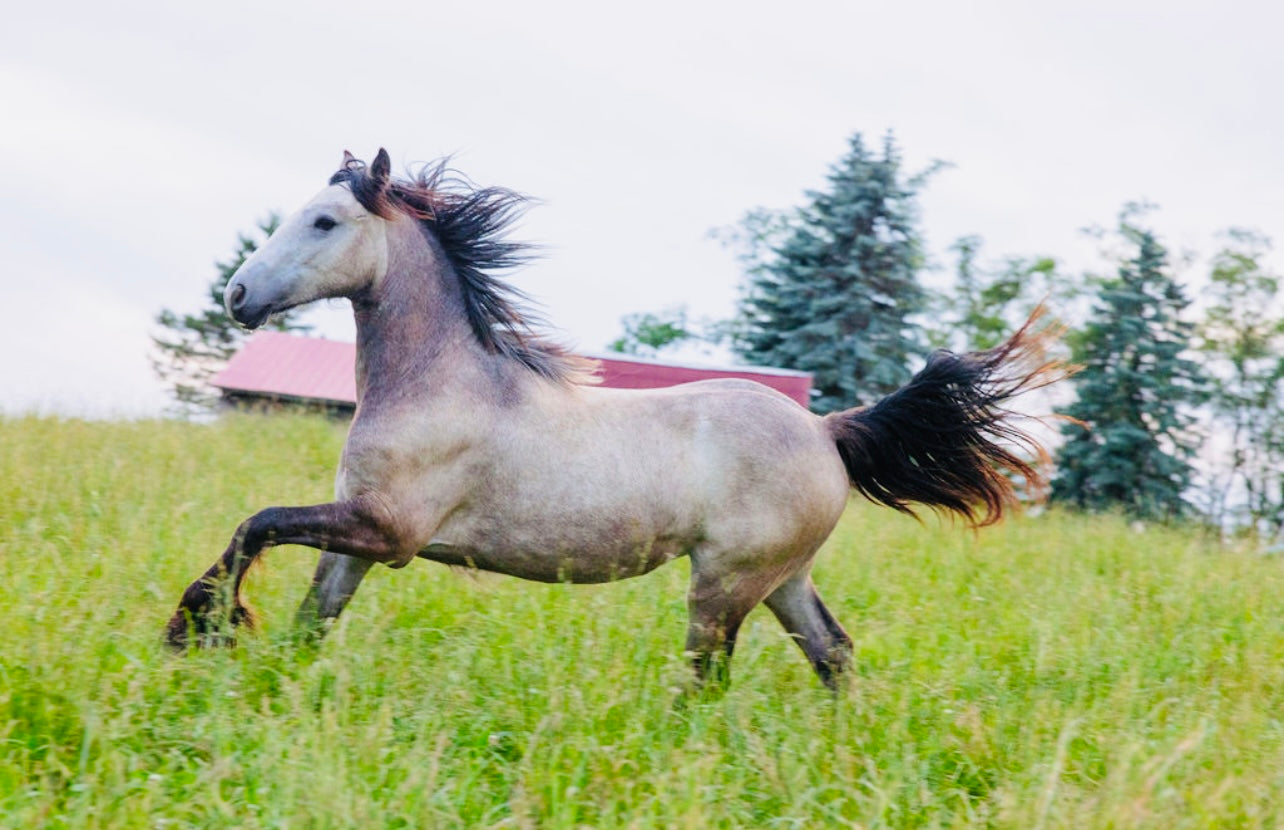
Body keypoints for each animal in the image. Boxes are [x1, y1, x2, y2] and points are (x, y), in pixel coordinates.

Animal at [165, 150, 1068, 693]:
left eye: (324, 221)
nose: (237, 295)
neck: (440, 385)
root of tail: (825, 431)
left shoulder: (388, 532)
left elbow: (256, 525)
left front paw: (195, 630)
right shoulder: (358, 536)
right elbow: (308, 623)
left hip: (725, 583)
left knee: (709, 678)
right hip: (783, 579)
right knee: (833, 653)